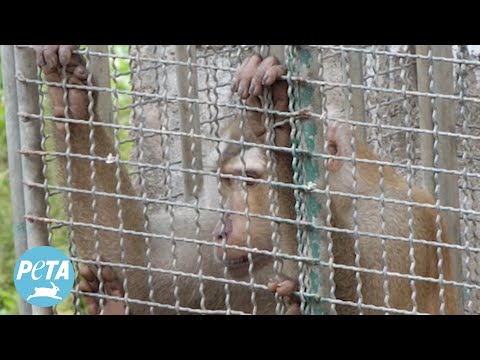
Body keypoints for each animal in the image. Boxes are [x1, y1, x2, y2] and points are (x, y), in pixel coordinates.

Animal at [35, 45, 460, 316]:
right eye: (227, 182)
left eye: (252, 180)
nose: (224, 230)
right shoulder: (213, 222)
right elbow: (142, 265)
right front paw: (71, 96)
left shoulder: (393, 231)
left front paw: (284, 138)